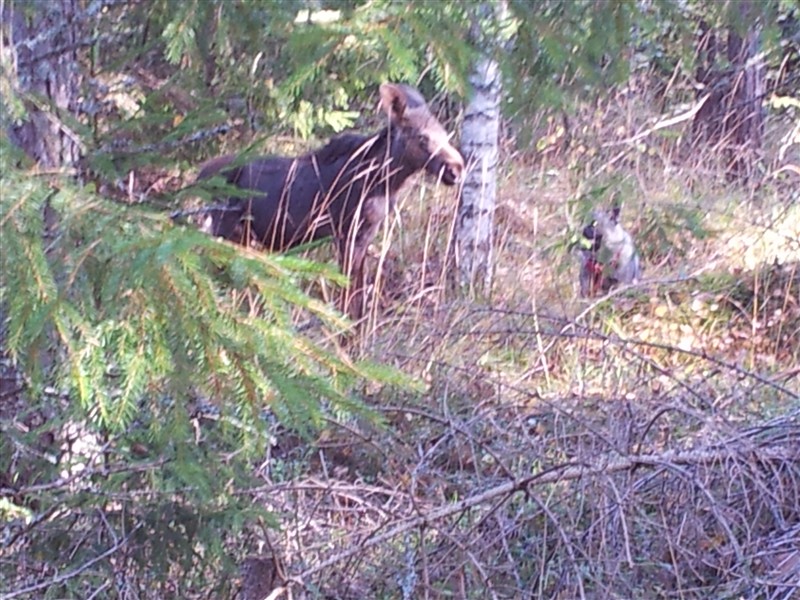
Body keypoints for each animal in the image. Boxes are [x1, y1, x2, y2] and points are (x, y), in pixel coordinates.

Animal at [196, 83, 466, 324]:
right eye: (422, 137)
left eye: (445, 133)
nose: (456, 169)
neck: (384, 182)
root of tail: (199, 174)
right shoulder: (347, 235)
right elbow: (348, 299)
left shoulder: (365, 235)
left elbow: (359, 298)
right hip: (226, 228)